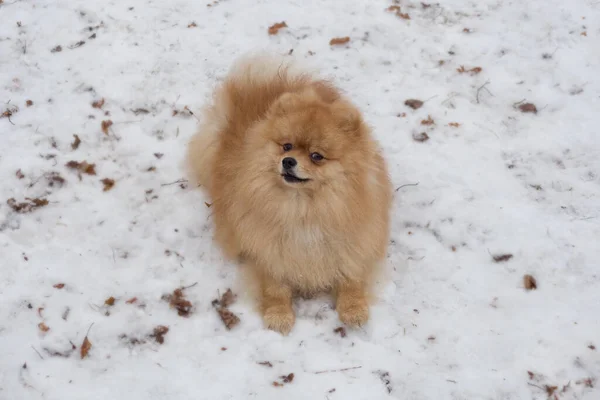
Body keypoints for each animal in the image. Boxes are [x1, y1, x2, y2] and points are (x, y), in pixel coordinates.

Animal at [189, 53, 394, 334]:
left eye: (316, 156)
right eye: (286, 146)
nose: (288, 161)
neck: (303, 208)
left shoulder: (352, 241)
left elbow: (351, 276)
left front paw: (353, 309)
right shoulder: (267, 249)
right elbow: (274, 287)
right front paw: (279, 314)